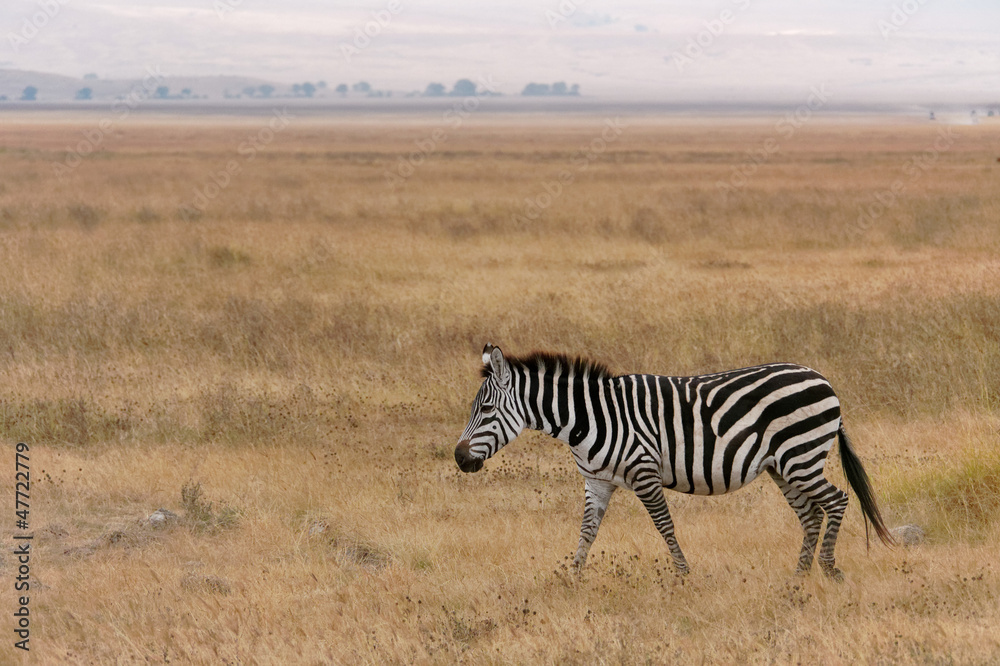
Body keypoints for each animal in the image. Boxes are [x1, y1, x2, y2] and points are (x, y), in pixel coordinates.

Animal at [454, 344, 893, 580]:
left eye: (487, 409)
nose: (458, 458)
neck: (588, 420)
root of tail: (822, 378)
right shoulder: (597, 481)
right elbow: (586, 534)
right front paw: (571, 580)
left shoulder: (644, 472)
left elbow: (665, 526)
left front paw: (684, 576)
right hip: (781, 466)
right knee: (811, 513)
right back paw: (798, 579)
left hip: (800, 456)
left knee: (836, 500)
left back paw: (829, 570)